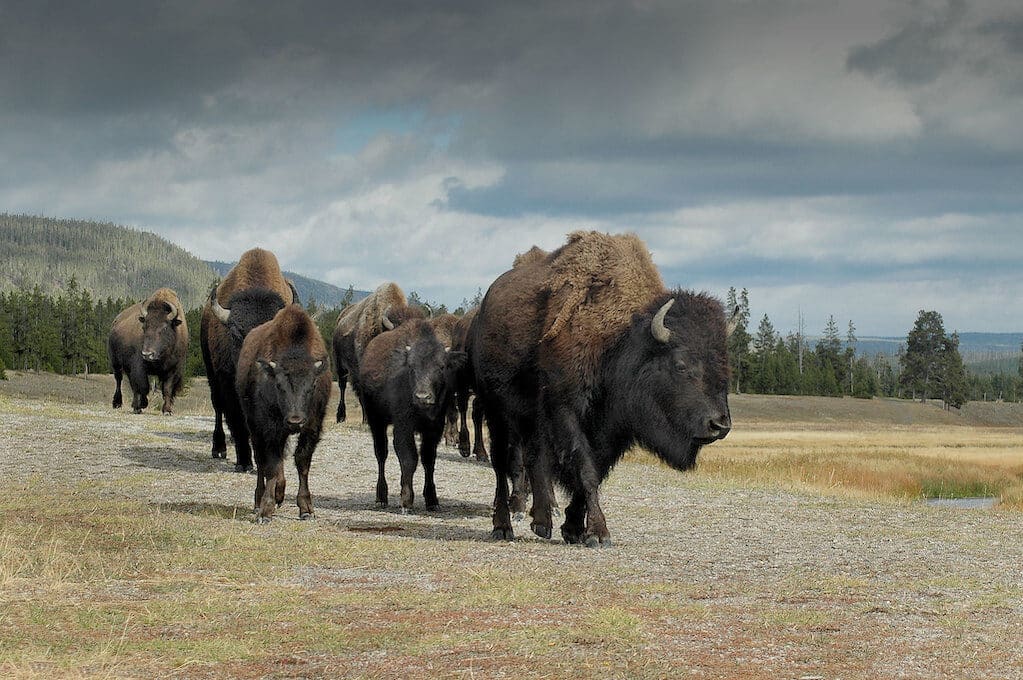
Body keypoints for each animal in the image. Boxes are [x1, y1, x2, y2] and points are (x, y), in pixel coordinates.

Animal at [235, 302, 331, 519]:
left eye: (312, 385)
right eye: (279, 385)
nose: (295, 421)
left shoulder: (312, 426)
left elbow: (302, 462)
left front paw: (306, 509)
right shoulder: (269, 427)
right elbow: (271, 463)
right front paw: (265, 510)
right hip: (254, 426)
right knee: (261, 461)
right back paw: (260, 500)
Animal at [360, 319, 468, 515]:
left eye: (441, 366)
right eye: (411, 366)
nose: (422, 397)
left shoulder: (435, 427)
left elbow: (428, 459)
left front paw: (432, 500)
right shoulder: (403, 426)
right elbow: (409, 459)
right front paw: (406, 501)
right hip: (376, 420)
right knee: (381, 454)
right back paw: (381, 497)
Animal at [470, 232, 736, 548]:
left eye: (725, 363)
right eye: (681, 364)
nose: (719, 424)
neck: (620, 342)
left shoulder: (613, 429)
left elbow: (594, 469)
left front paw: (573, 529)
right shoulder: (567, 412)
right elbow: (585, 468)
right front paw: (599, 533)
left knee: (535, 461)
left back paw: (542, 522)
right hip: (497, 410)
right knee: (501, 463)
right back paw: (503, 526)